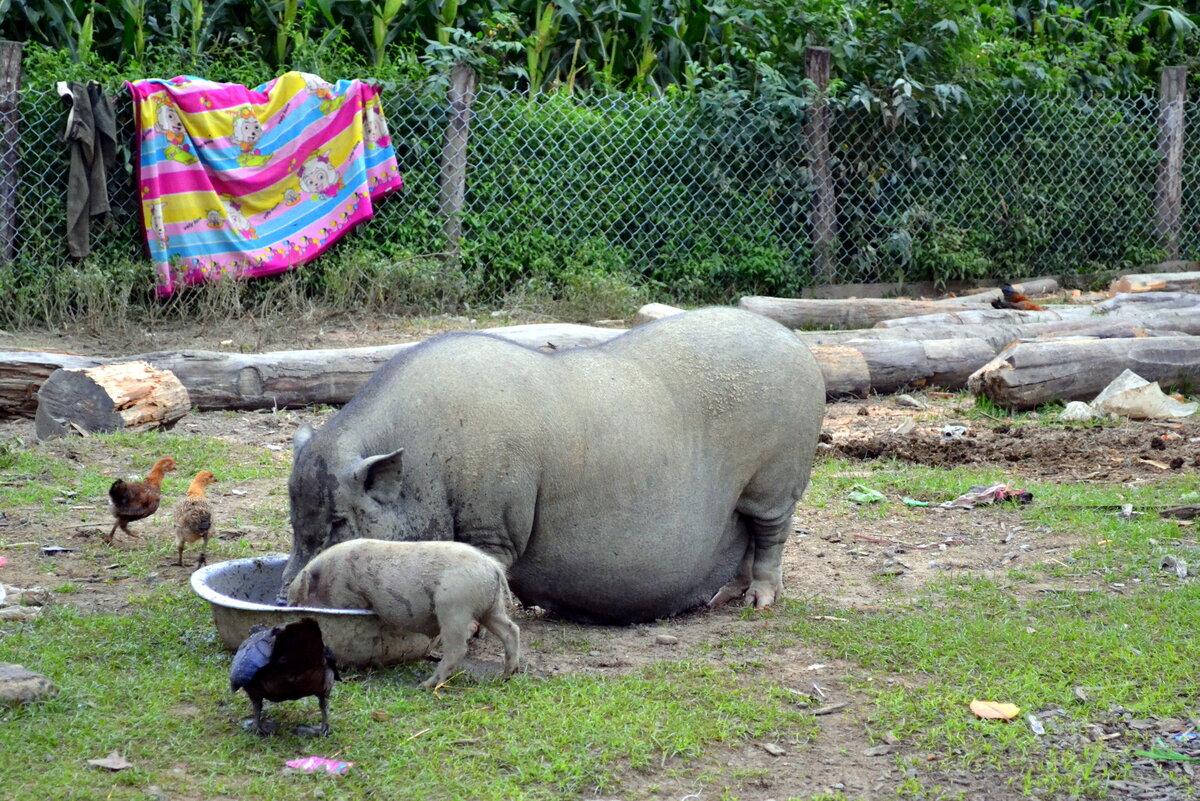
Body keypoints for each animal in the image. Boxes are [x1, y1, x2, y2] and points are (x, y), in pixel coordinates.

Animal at [280, 306, 825, 623]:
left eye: (339, 521)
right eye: (294, 519)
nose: (287, 596)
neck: (426, 463)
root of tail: (796, 343)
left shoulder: (493, 520)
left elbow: (484, 566)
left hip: (776, 478)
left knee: (771, 534)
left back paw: (759, 603)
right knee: (747, 542)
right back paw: (722, 599)